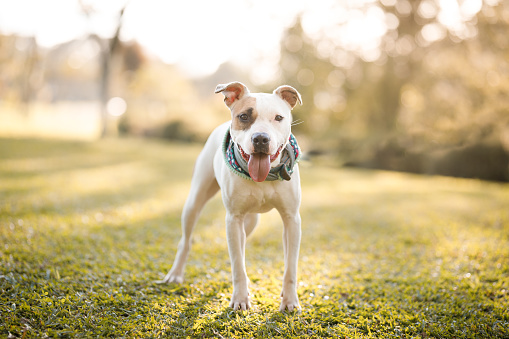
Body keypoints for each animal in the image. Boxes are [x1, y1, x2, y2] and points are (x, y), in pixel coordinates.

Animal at [157, 81, 302, 312]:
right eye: (244, 116)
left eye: (279, 117)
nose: (260, 138)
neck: (264, 177)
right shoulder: (233, 219)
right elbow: (237, 264)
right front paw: (240, 298)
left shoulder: (292, 220)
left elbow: (290, 266)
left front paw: (289, 301)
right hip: (195, 202)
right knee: (187, 241)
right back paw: (175, 274)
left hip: (251, 221)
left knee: (242, 244)